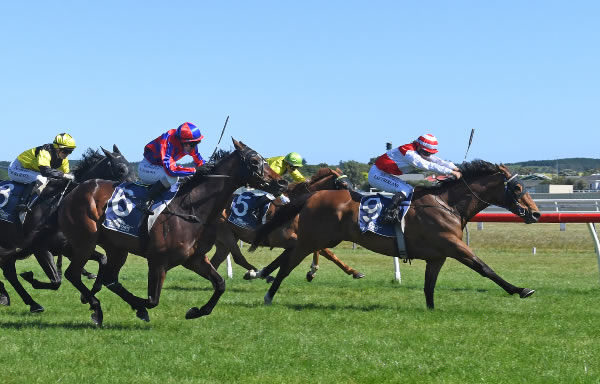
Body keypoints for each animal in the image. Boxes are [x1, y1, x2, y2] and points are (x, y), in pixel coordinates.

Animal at [0, 146, 132, 312]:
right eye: (121, 169)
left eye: (130, 165)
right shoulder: (39, 248)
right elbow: (56, 281)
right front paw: (30, 277)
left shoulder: (70, 247)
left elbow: (103, 259)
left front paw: (88, 294)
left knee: (9, 271)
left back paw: (28, 302)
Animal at [58, 140, 288, 326]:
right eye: (254, 161)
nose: (282, 182)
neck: (190, 209)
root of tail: (76, 189)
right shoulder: (158, 261)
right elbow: (152, 300)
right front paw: (140, 307)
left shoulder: (194, 259)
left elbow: (220, 284)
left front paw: (196, 311)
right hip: (85, 241)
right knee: (73, 274)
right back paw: (96, 307)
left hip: (117, 248)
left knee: (110, 279)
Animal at [209, 166, 364, 280]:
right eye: (344, 184)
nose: (358, 199)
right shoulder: (287, 238)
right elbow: (324, 251)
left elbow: (323, 251)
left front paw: (313, 271)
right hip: (226, 234)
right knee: (238, 258)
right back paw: (258, 274)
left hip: (226, 240)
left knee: (215, 261)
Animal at [251, 160, 540, 310]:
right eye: (517, 188)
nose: (536, 214)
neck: (446, 203)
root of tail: (314, 195)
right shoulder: (453, 245)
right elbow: (484, 267)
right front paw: (520, 289)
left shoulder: (438, 256)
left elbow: (429, 286)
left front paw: (431, 310)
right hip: (313, 238)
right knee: (288, 265)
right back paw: (268, 295)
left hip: (322, 238)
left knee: (290, 256)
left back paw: (261, 276)